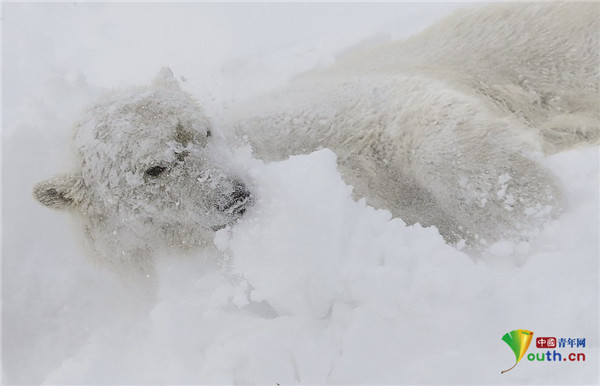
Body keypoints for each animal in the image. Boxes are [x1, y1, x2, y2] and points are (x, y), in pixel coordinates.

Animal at [35, 3, 596, 268]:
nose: (236, 195)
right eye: (154, 168)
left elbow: (406, 112)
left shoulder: (318, 117)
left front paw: (530, 216)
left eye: (203, 131)